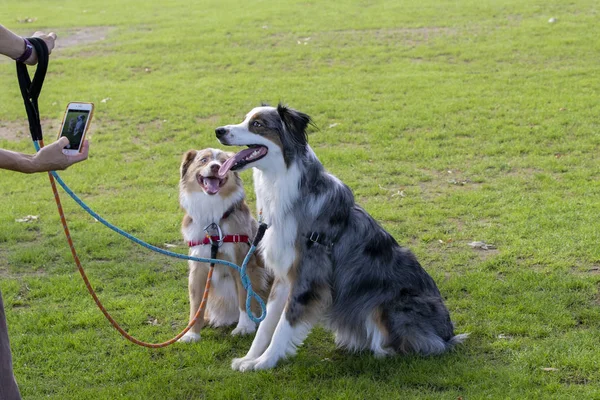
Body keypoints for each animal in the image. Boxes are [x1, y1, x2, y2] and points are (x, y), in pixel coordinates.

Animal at [177, 148, 270, 342]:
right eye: (203, 160)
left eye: (223, 162)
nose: (215, 167)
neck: (213, 219)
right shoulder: (198, 267)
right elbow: (196, 305)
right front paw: (191, 333)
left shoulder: (241, 264)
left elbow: (244, 298)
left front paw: (244, 327)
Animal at [213, 104, 466, 370]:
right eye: (245, 118)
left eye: (257, 124)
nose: (219, 131)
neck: (284, 187)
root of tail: (447, 334)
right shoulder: (283, 276)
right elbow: (266, 325)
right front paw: (250, 358)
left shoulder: (308, 276)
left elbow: (284, 325)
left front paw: (265, 363)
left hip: (386, 306)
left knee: (418, 344)